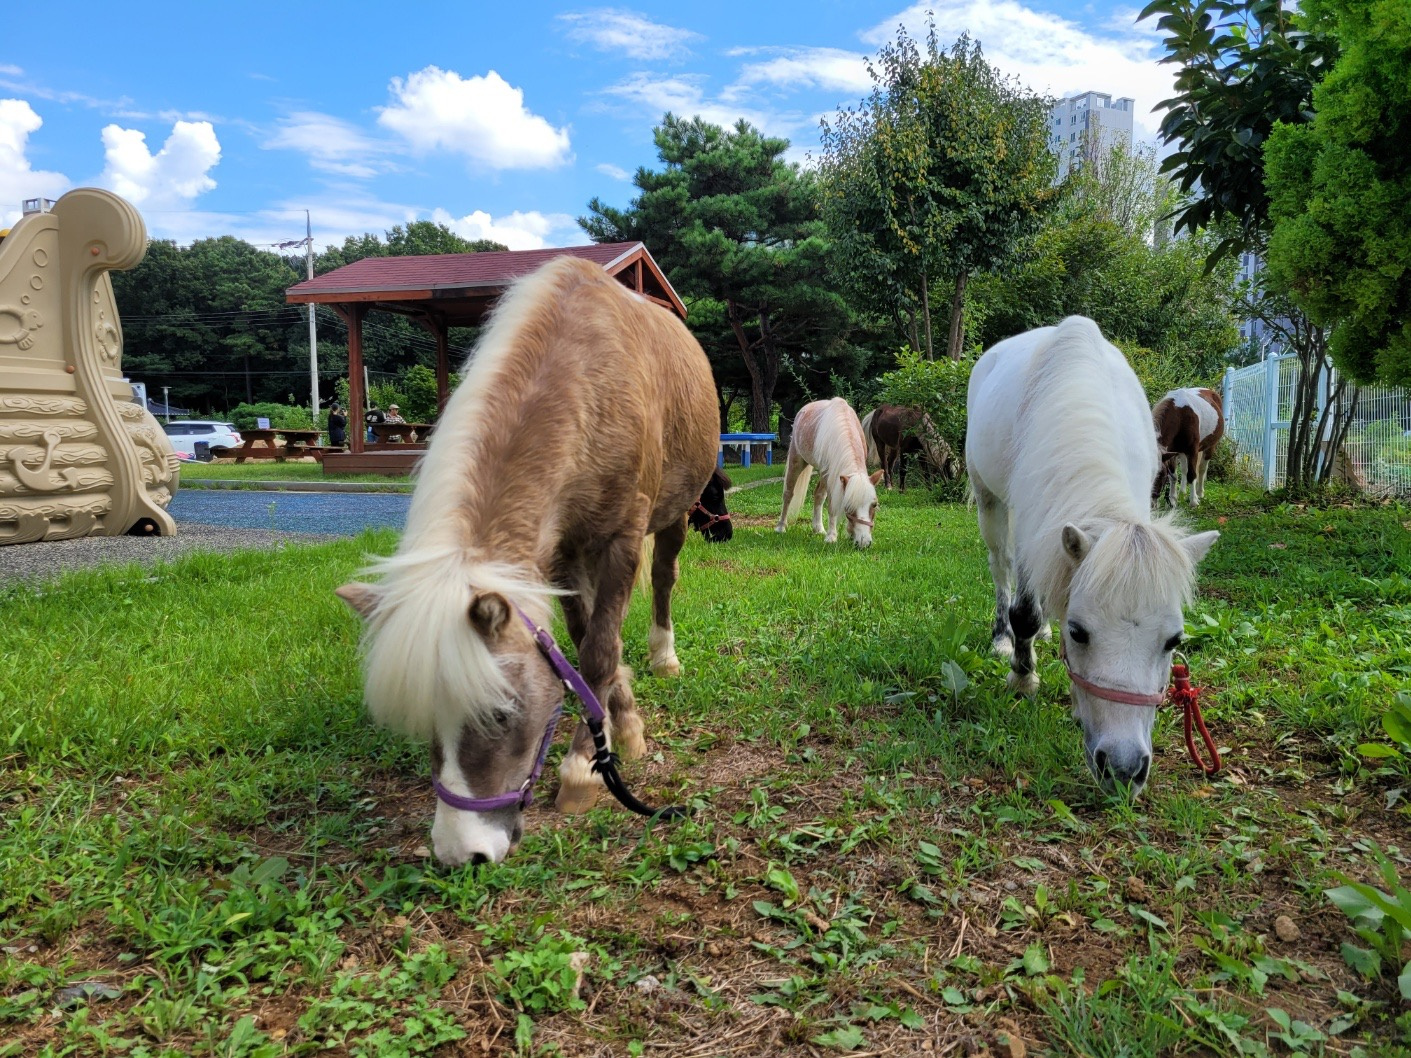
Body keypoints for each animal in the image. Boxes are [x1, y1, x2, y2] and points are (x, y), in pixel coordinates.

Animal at [331, 259, 716, 868]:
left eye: (500, 714)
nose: (460, 853)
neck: (589, 383)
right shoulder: (561, 554)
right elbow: (583, 645)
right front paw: (622, 724)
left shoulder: (621, 539)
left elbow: (599, 649)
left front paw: (584, 769)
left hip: (676, 511)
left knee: (663, 580)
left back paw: (664, 656)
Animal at [773, 397, 880, 547]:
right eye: (848, 506)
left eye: (874, 505)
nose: (864, 542)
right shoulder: (828, 474)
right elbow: (832, 505)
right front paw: (832, 536)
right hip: (797, 462)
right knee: (788, 494)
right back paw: (781, 526)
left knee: (818, 495)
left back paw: (818, 528)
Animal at [965, 318, 1219, 801]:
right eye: (1080, 633)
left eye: (1174, 641)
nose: (1123, 769)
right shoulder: (1031, 521)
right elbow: (1024, 610)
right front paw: (1023, 678)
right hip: (990, 500)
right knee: (1000, 566)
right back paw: (1003, 637)